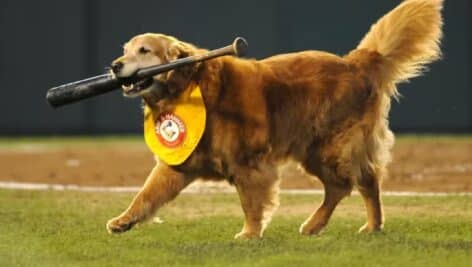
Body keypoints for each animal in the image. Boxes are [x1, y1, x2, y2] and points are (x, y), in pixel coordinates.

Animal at [106, 0, 442, 239]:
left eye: (144, 50)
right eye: (125, 50)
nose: (114, 65)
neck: (190, 85)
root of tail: (355, 62)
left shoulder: (248, 162)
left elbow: (251, 202)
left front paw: (250, 233)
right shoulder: (176, 164)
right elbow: (145, 194)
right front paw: (124, 220)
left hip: (332, 148)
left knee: (358, 182)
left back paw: (360, 225)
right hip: (315, 151)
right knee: (350, 185)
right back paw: (330, 225)